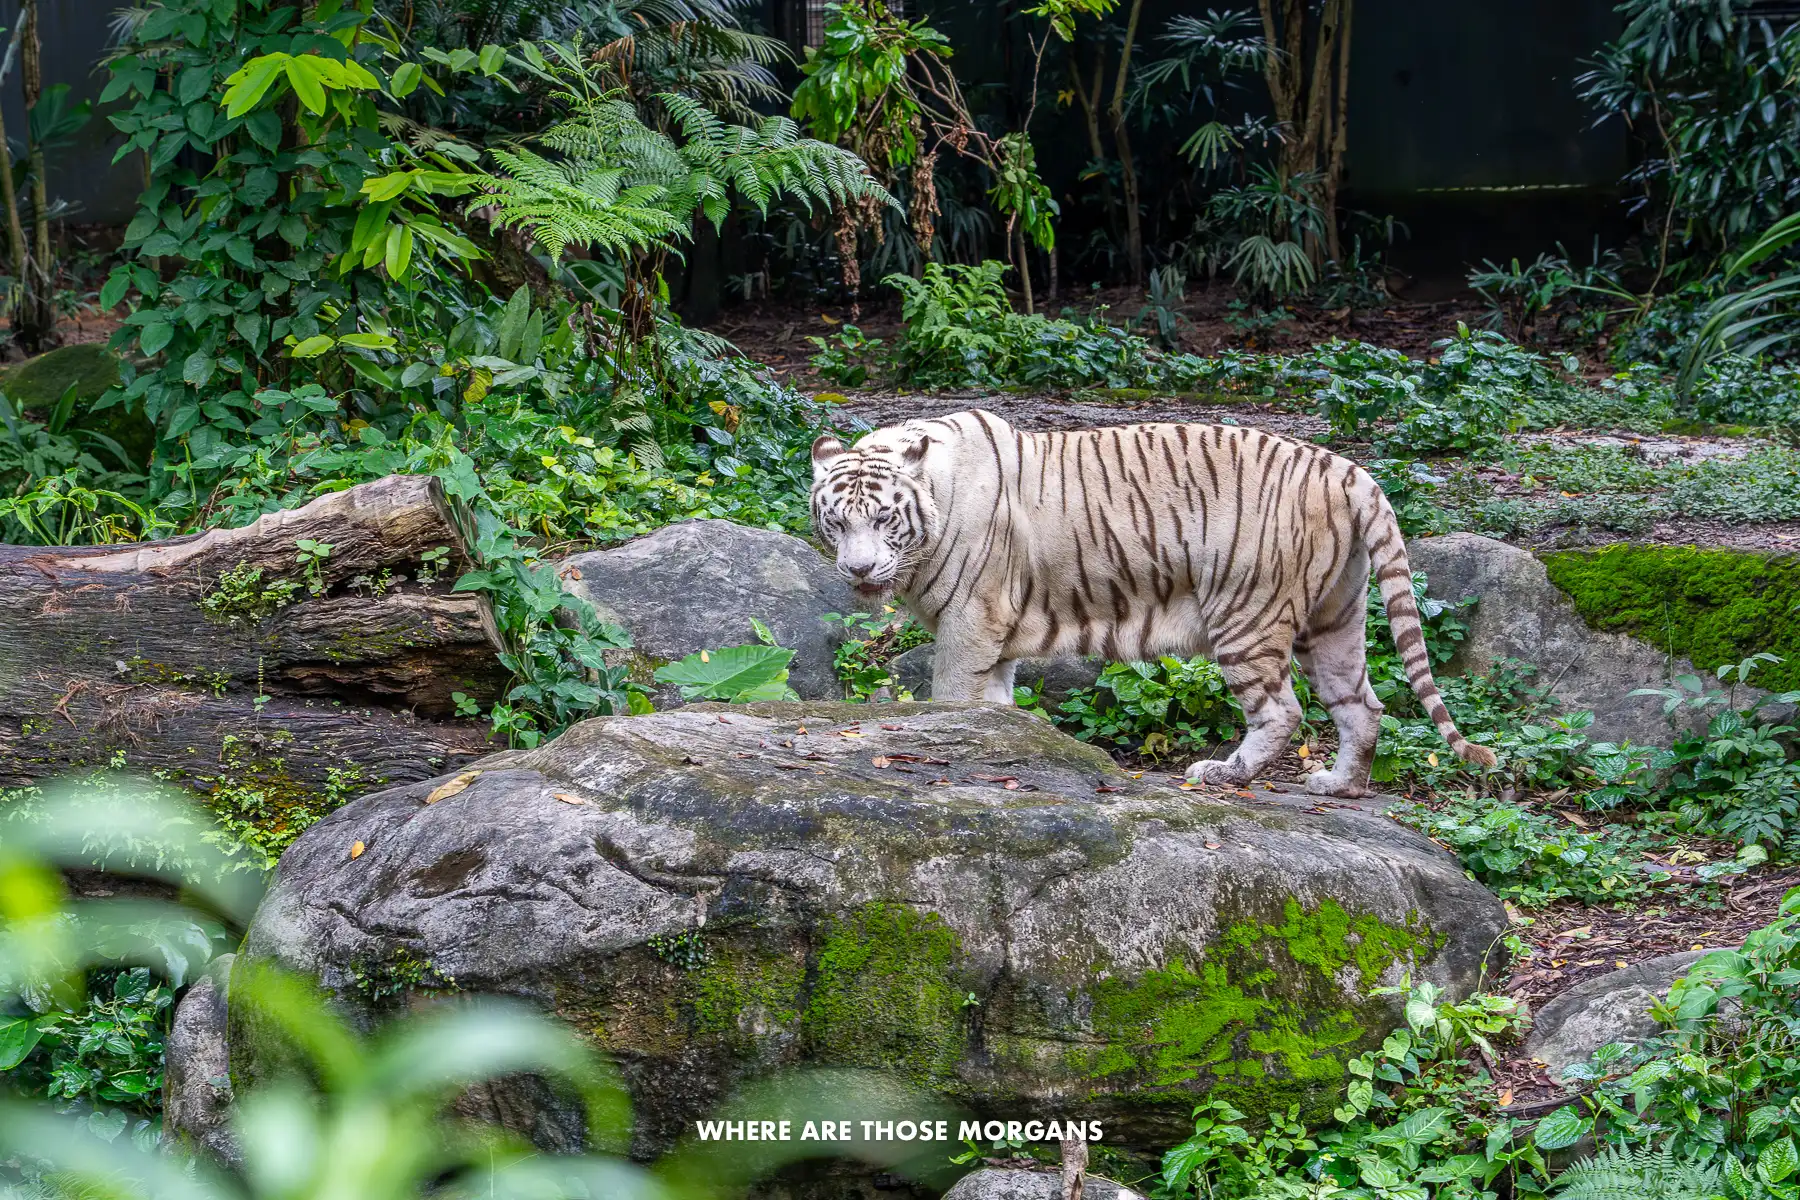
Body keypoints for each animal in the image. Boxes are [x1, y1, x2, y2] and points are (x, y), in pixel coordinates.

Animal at [808, 408, 1497, 798]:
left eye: (883, 519)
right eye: (836, 523)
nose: (858, 570)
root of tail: (1349, 470)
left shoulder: (970, 623)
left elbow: (952, 698)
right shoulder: (996, 638)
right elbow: (998, 705)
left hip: (1245, 613)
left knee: (1283, 711)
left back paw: (1221, 774)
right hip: (1335, 617)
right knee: (1363, 706)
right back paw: (1340, 787)